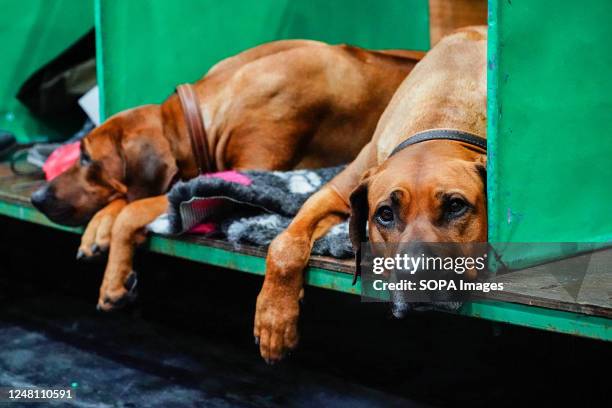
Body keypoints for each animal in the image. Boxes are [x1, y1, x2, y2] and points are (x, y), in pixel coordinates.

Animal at [31, 39, 424, 310]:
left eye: (86, 158)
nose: (36, 197)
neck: (214, 109)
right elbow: (127, 201)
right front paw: (98, 230)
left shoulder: (250, 168)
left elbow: (132, 206)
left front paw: (112, 276)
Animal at [253, 27, 488, 362]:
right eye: (385, 214)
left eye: (456, 206)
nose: (418, 274)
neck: (443, 110)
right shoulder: (336, 191)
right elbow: (285, 244)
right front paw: (274, 317)